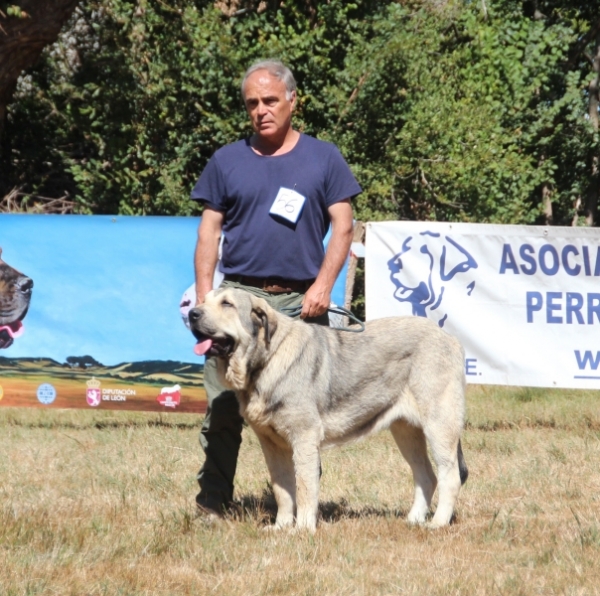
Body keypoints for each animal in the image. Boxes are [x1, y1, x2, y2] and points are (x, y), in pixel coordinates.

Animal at [190, 288, 466, 532]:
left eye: (227, 304)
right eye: (204, 300)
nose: (192, 313)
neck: (266, 360)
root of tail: (450, 338)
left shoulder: (304, 437)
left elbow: (304, 487)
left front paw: (302, 529)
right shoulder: (271, 444)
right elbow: (283, 490)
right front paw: (280, 527)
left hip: (439, 425)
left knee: (449, 476)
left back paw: (438, 523)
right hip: (406, 432)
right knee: (426, 476)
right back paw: (413, 521)